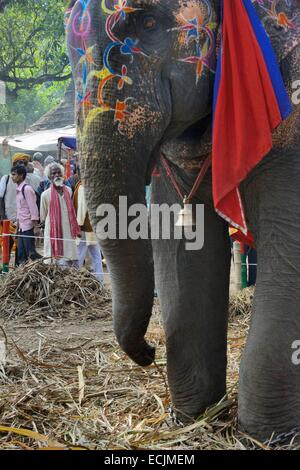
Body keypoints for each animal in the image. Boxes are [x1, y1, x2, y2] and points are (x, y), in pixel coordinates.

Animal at [66, 0, 300, 442]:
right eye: (69, 55)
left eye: (148, 22)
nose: (148, 352)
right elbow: (180, 249)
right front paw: (193, 417)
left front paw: (269, 436)